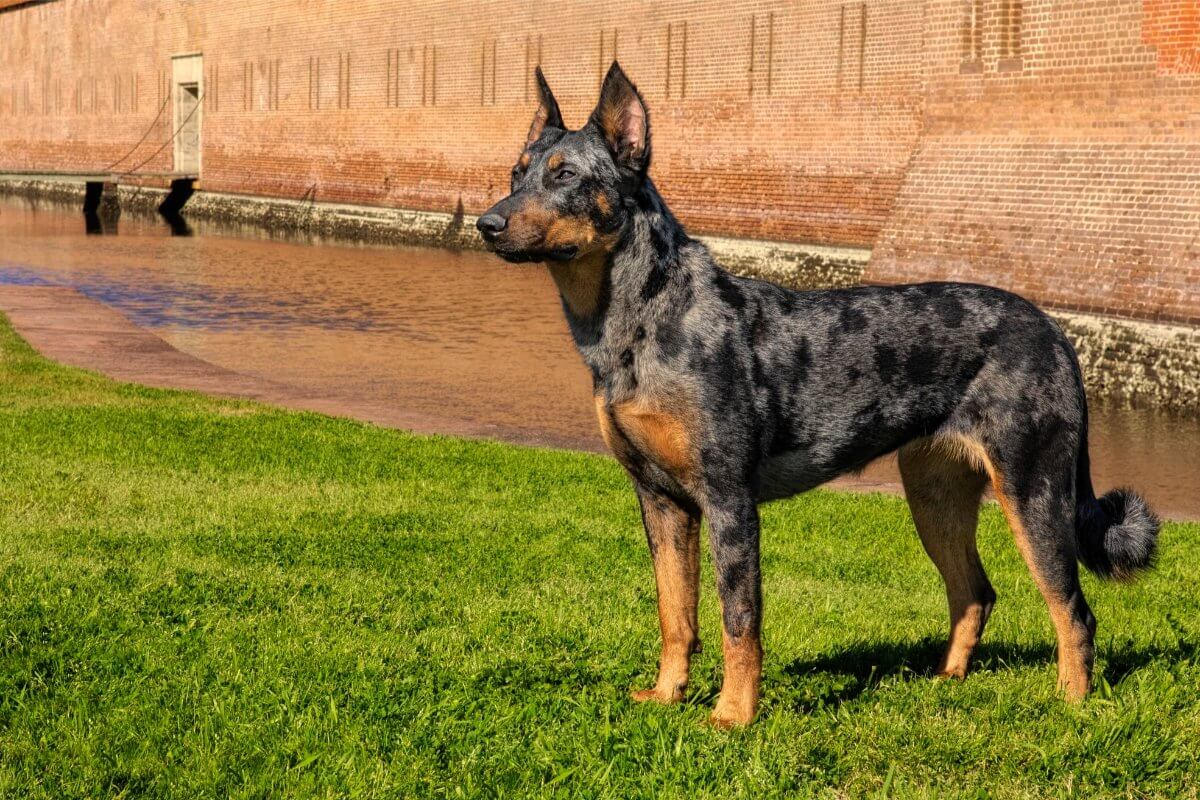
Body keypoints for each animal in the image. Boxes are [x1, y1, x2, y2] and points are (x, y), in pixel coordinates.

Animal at [472, 61, 1156, 724]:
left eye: (564, 175)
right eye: (516, 172)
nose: (487, 223)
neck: (642, 321)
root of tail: (1057, 333)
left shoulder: (728, 500)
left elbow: (738, 621)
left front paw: (732, 716)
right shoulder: (660, 500)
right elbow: (675, 614)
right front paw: (667, 696)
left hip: (1035, 492)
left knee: (1073, 611)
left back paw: (1071, 707)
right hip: (934, 494)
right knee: (974, 593)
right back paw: (943, 684)